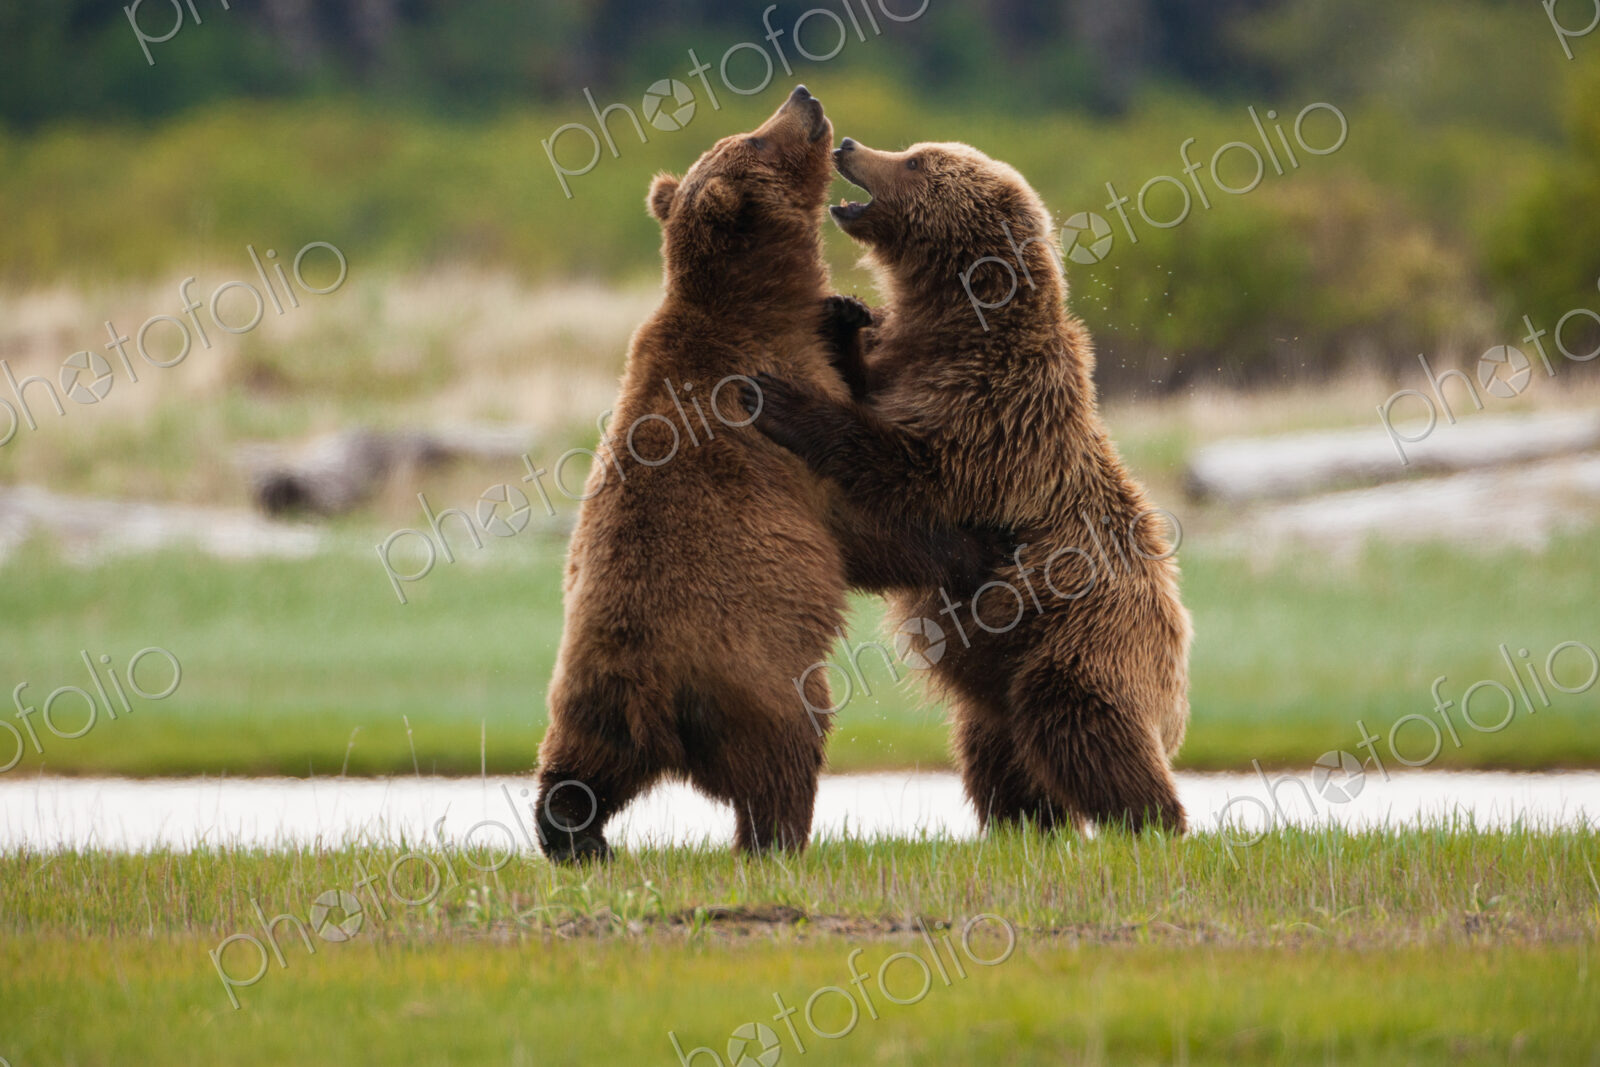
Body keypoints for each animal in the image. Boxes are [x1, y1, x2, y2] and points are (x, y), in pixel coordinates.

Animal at [534, 90, 1005, 862]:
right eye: (756, 138)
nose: (803, 99)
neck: (760, 302)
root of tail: (647, 690)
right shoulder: (779, 419)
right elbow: (867, 519)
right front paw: (974, 546)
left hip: (588, 699)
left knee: (575, 774)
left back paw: (579, 837)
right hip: (755, 675)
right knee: (784, 756)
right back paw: (778, 837)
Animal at [744, 137, 1192, 834]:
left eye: (915, 162)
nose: (849, 144)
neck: (958, 323)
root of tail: (1177, 674)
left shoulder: (997, 416)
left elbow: (908, 469)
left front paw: (781, 399)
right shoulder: (912, 367)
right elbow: (871, 387)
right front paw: (842, 315)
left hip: (1080, 637)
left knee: (1084, 725)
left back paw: (1152, 821)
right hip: (994, 690)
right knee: (997, 754)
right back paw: (1024, 823)